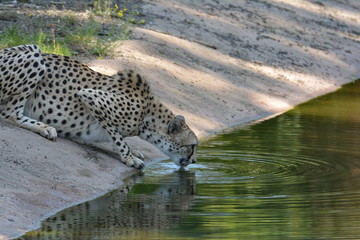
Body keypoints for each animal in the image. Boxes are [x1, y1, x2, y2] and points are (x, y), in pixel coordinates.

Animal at [0, 45, 198, 169]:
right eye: (192, 146)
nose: (195, 161)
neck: (148, 116)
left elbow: (116, 138)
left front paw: (132, 151)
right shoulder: (90, 97)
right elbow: (118, 138)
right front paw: (129, 158)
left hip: (32, 48)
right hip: (35, 56)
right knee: (9, 113)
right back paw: (45, 127)